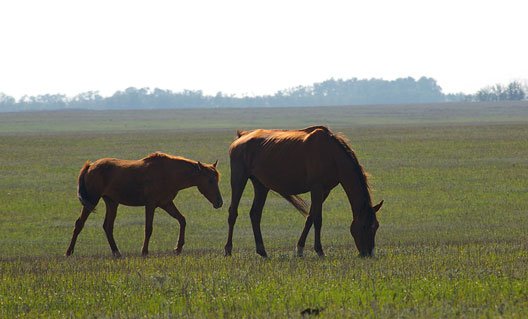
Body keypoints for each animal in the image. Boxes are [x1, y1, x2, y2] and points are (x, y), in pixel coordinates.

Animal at [66, 151, 223, 258]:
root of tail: (90, 166)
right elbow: (148, 228)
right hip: (92, 200)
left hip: (111, 202)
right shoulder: (151, 205)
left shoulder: (166, 203)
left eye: (217, 179)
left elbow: (182, 220)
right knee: (80, 223)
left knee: (107, 226)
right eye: (210, 180)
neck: (169, 173)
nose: (219, 202)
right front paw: (144, 251)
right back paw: (69, 252)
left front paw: (178, 248)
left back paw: (117, 252)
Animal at [224, 126, 384, 258]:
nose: (368, 253)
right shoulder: (317, 188)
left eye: (376, 226)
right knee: (233, 212)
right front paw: (319, 251)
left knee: (255, 214)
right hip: (239, 178)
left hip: (261, 185)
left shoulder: (324, 191)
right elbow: (318, 219)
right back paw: (228, 250)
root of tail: (241, 137)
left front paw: (300, 249)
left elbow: (310, 217)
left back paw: (262, 251)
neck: (332, 155)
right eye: (364, 226)